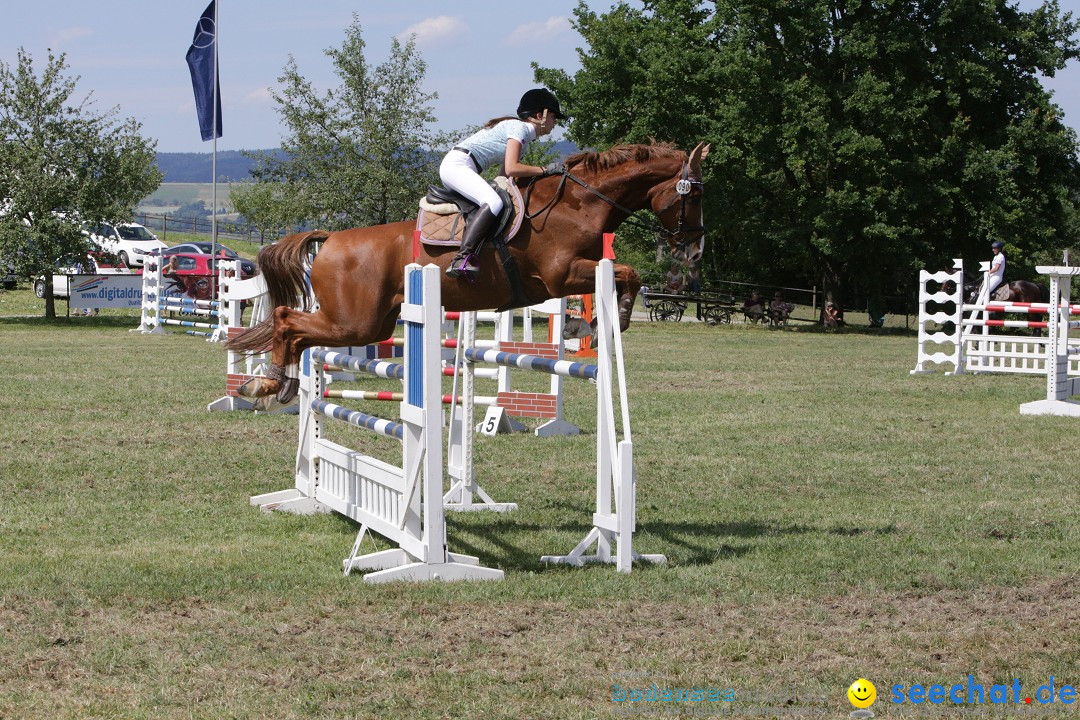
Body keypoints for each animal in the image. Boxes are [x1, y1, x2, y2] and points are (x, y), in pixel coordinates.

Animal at [225, 142, 708, 410]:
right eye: (696, 193)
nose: (696, 250)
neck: (579, 204)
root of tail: (331, 239)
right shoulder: (562, 275)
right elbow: (629, 272)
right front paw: (610, 319)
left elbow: (626, 275)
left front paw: (584, 324)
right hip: (354, 321)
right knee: (287, 320)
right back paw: (266, 383)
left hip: (370, 323)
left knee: (298, 330)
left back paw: (277, 386)